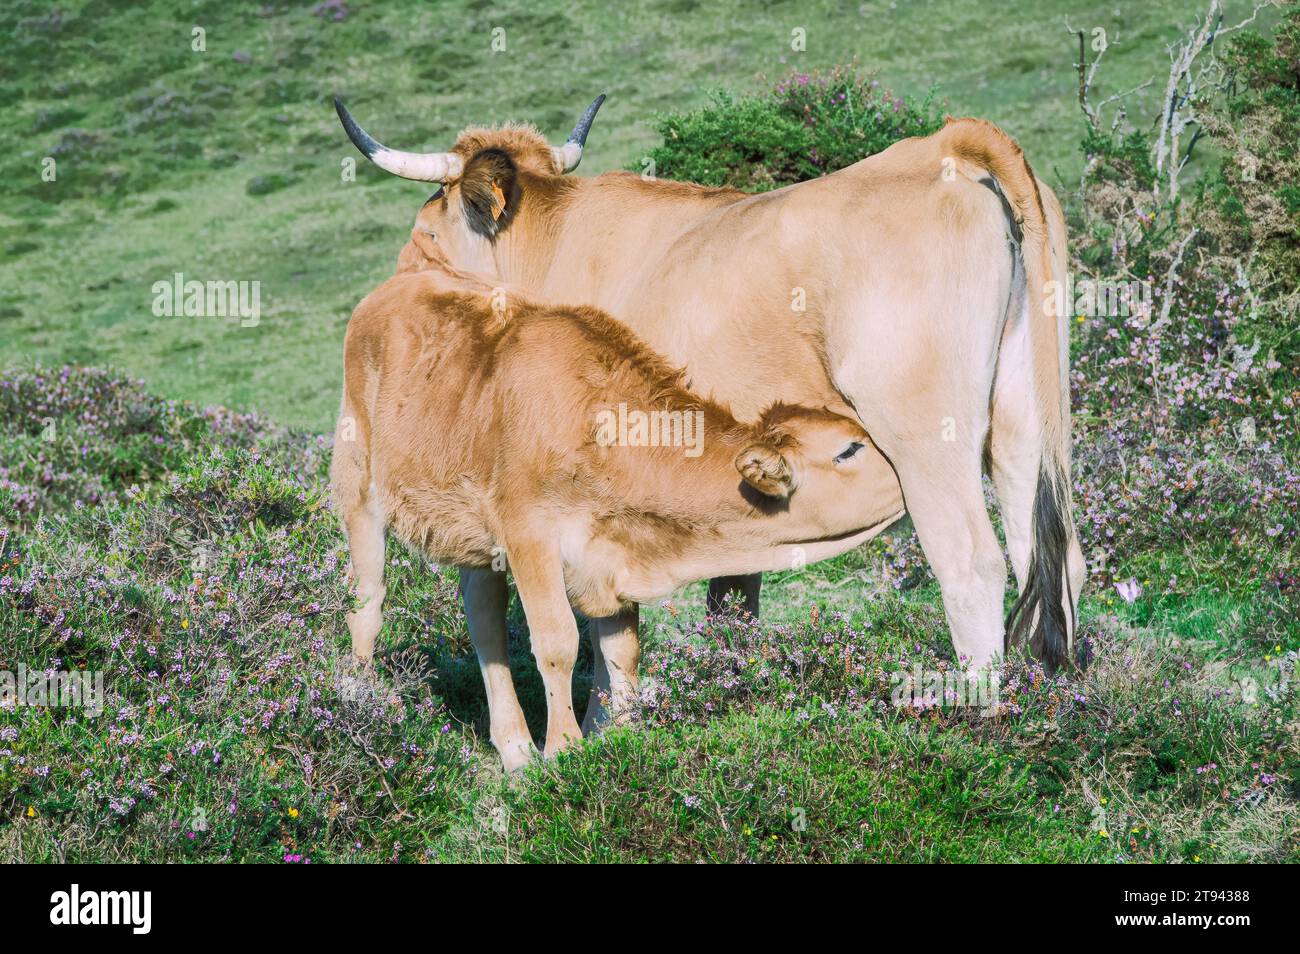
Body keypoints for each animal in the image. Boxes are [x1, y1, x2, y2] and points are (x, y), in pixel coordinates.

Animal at [332, 259, 904, 769]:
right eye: (849, 450)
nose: (907, 470)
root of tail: (402, 281)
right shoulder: (529, 535)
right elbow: (557, 642)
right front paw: (564, 752)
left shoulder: (609, 552)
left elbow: (621, 654)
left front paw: (619, 746)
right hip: (358, 486)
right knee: (367, 605)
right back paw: (358, 704)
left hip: (475, 535)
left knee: (483, 616)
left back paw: (515, 751)